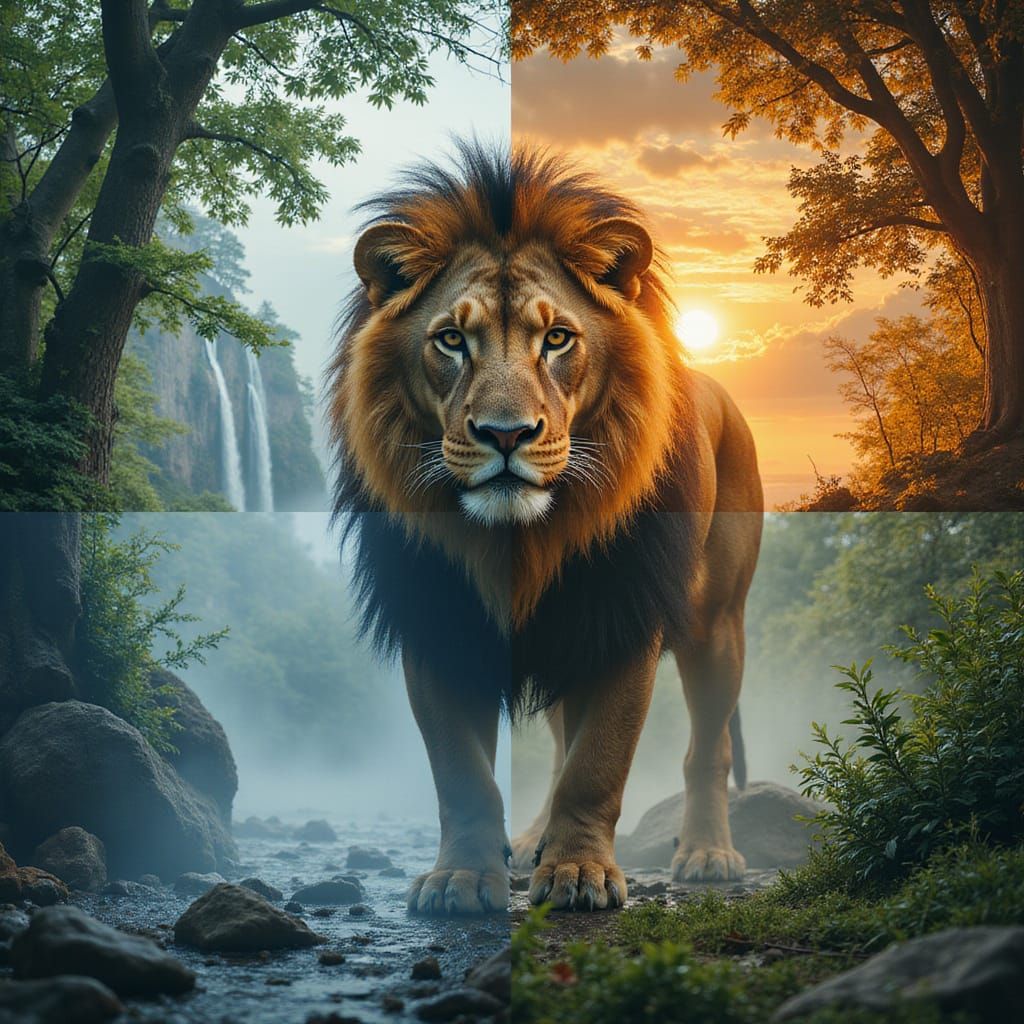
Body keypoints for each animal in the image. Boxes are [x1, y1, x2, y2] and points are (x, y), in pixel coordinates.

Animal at [329, 142, 762, 915]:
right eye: (451, 340)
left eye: (557, 338)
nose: (506, 435)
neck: (524, 544)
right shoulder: (439, 622)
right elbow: (461, 772)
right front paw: (462, 877)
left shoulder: (622, 615)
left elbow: (598, 763)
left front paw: (580, 873)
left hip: (717, 623)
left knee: (705, 749)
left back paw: (709, 854)